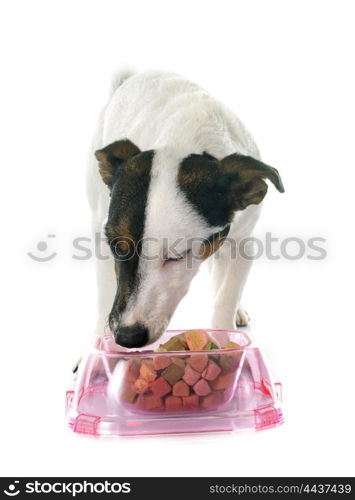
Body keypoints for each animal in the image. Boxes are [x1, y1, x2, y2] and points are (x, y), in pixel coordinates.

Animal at [87, 69, 286, 348]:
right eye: (118, 247)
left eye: (178, 256)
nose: (127, 337)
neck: (185, 139)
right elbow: (105, 294)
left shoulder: (243, 242)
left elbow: (226, 296)